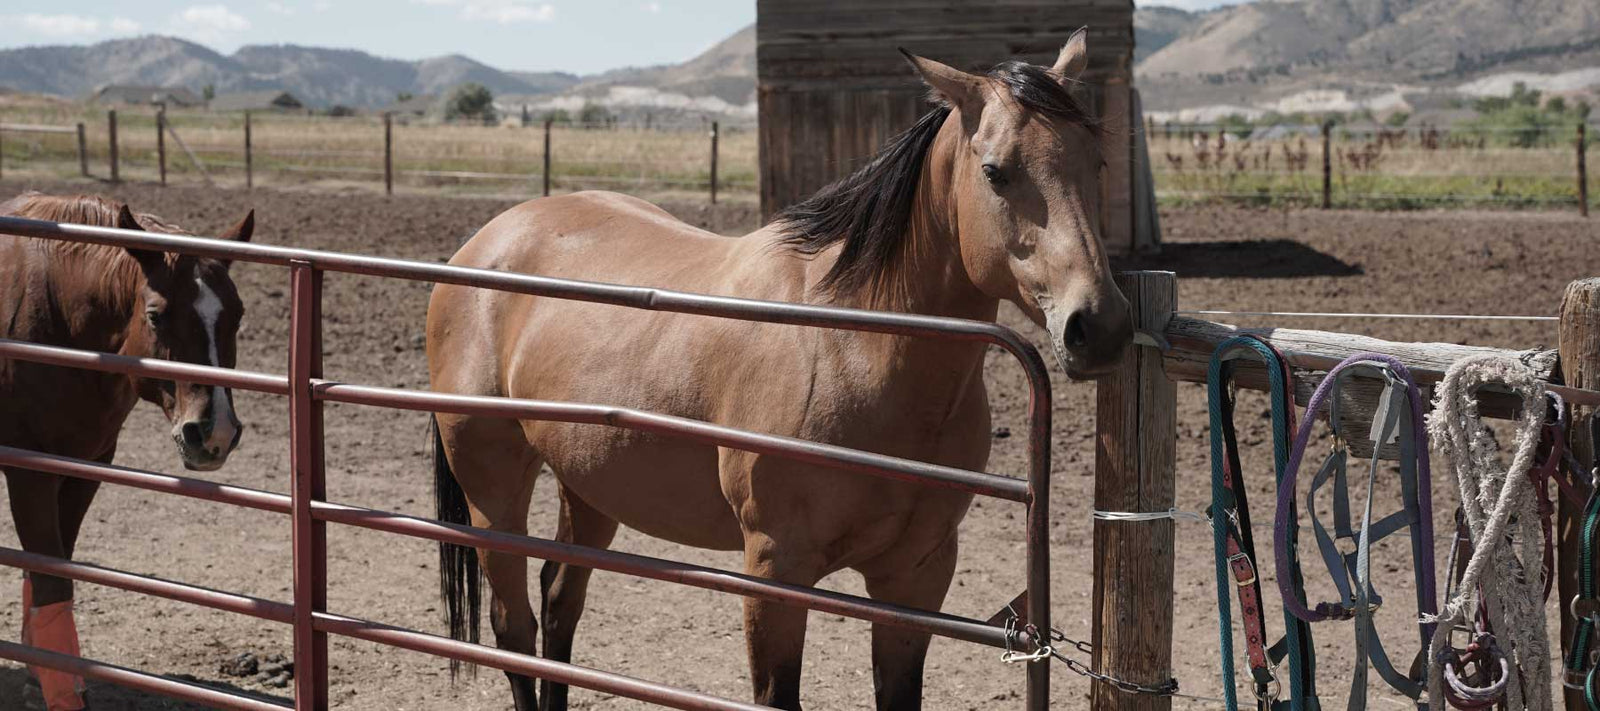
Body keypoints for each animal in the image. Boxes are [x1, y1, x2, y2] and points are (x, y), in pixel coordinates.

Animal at [0, 193, 253, 711]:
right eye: (155, 314)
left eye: (237, 315)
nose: (213, 431)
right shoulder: (29, 470)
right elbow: (51, 578)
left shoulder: (86, 467)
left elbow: (52, 563)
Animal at [426, 31, 1131, 711]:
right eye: (995, 171)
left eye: (1095, 163)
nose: (1098, 326)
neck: (855, 346)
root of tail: (488, 239)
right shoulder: (774, 572)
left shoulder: (915, 578)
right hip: (494, 490)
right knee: (513, 628)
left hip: (590, 486)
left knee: (558, 603)